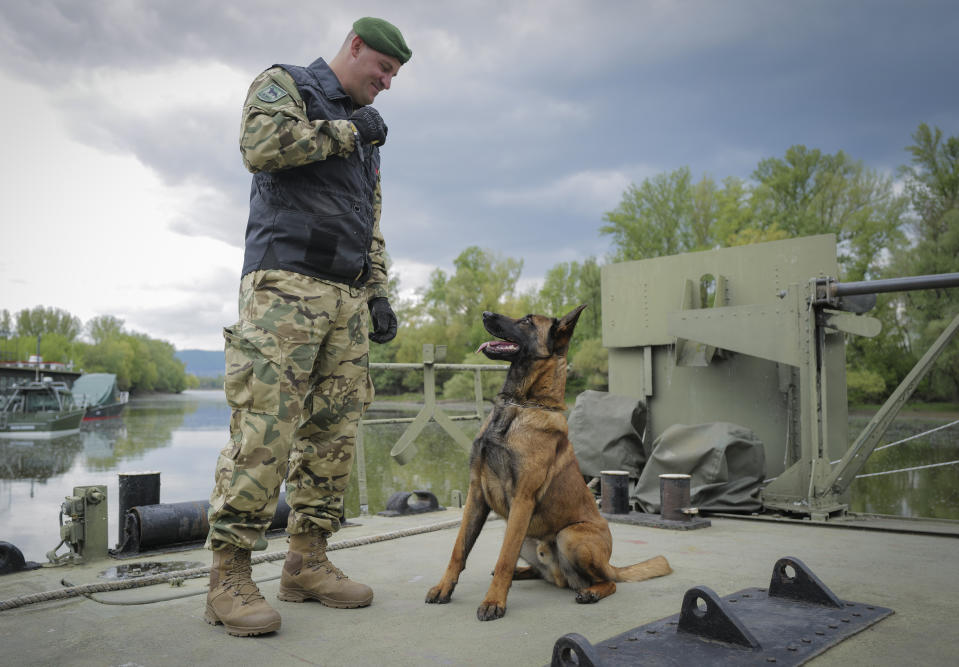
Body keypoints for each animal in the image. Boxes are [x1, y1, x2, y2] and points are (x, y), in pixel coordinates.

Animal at [424, 306, 672, 620]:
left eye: (527, 321)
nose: (485, 313)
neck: (520, 405)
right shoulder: (476, 493)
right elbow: (459, 549)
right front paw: (444, 588)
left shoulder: (522, 499)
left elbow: (504, 557)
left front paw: (494, 602)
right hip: (527, 537)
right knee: (546, 575)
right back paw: (523, 573)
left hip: (569, 535)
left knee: (608, 582)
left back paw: (590, 592)